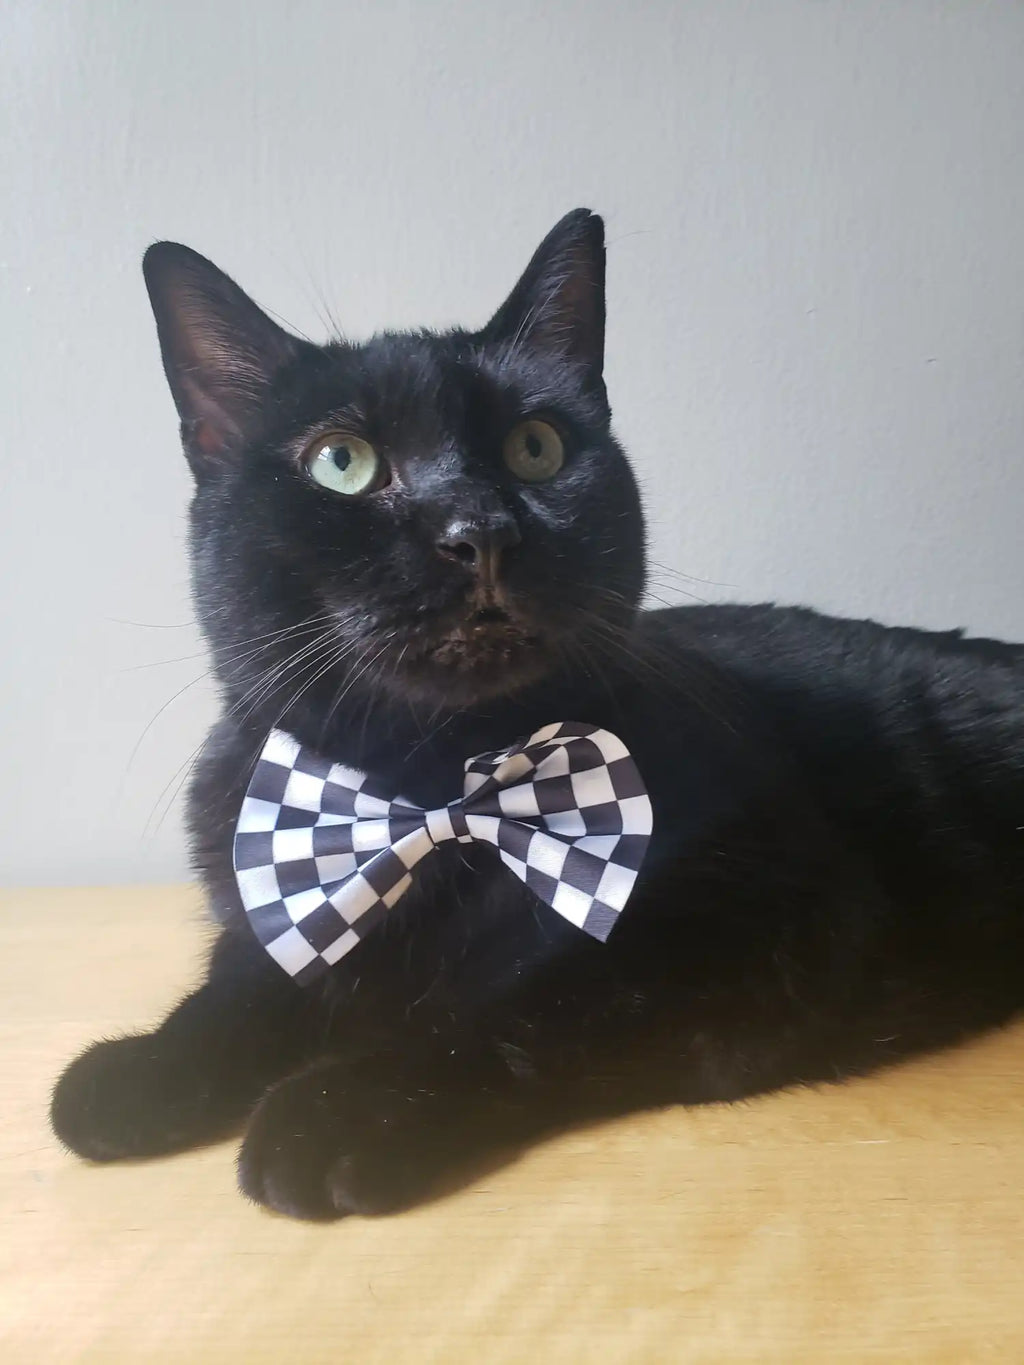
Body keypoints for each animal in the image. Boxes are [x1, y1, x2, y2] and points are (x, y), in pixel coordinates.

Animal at [50, 210, 1024, 1217]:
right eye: (341, 462)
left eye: (536, 447)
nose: (478, 527)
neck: (433, 788)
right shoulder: (285, 895)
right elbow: (243, 979)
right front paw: (144, 1068)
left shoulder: (771, 923)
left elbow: (521, 1002)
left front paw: (339, 1106)